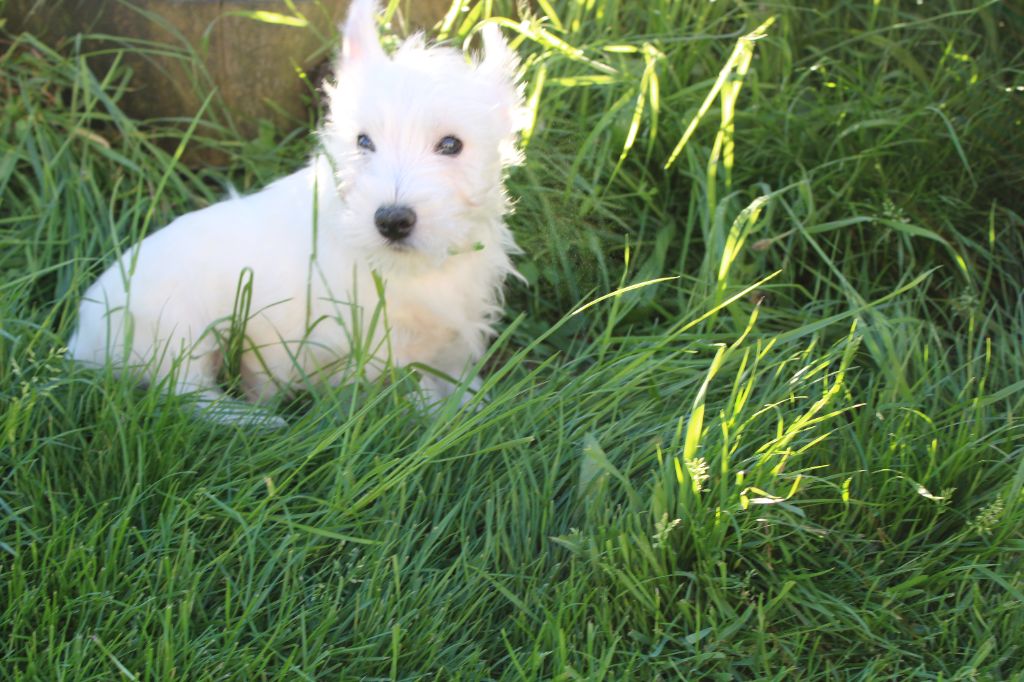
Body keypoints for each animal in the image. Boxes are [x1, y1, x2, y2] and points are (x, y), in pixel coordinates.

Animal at [68, 0, 524, 421]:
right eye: (363, 141)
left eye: (451, 145)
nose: (391, 220)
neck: (410, 268)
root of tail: (80, 341)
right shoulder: (370, 343)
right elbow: (409, 387)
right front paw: (434, 415)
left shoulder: (455, 328)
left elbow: (456, 376)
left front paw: (475, 407)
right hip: (176, 331)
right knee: (186, 392)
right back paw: (255, 421)